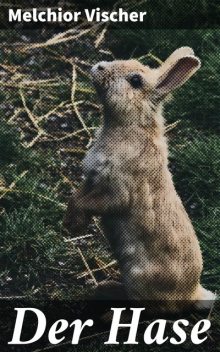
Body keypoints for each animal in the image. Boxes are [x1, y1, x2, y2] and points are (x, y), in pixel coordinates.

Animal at [64, 47, 216, 314]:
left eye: (135, 80)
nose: (100, 67)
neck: (129, 126)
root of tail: (192, 294)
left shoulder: (117, 192)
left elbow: (89, 203)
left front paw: (74, 226)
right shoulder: (91, 181)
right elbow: (76, 198)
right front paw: (70, 223)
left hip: (139, 279)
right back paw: (103, 289)